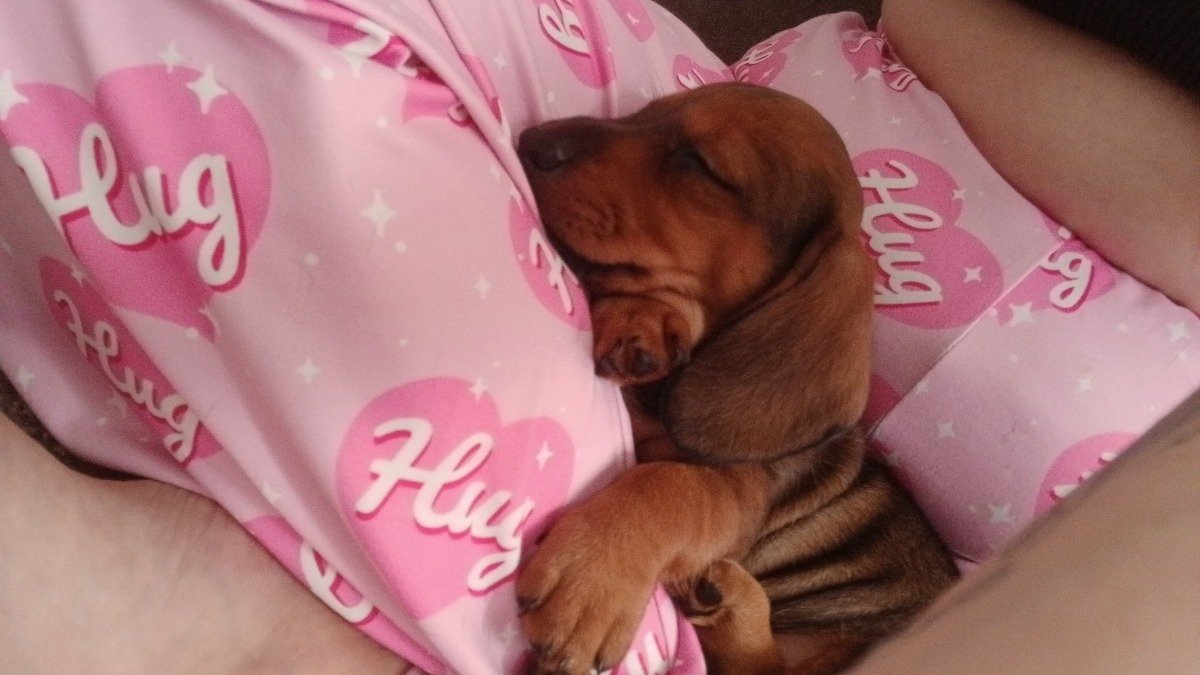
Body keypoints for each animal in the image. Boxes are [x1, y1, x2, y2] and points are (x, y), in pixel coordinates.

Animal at [515, 82, 958, 674]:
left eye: (701, 165)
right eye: (646, 112)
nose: (531, 140)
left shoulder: (742, 490)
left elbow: (672, 485)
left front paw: (590, 573)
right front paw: (639, 320)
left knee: (764, 663)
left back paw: (729, 604)